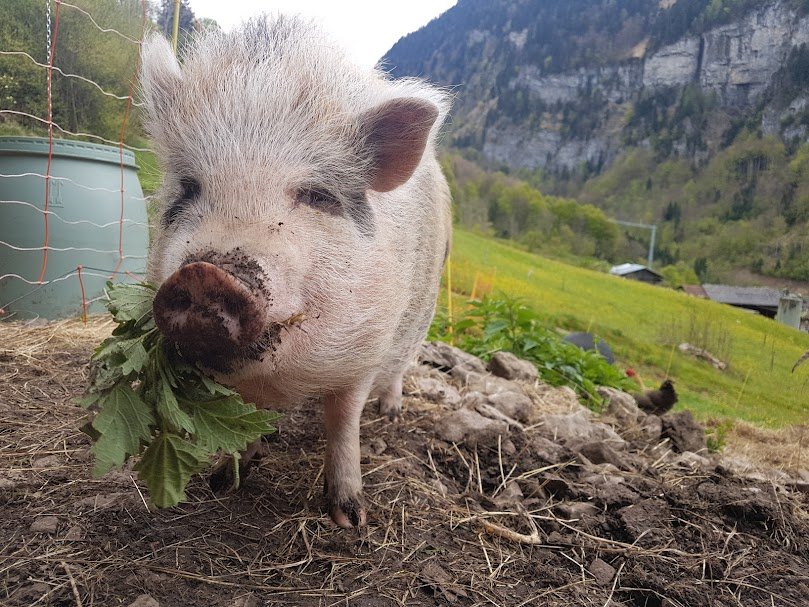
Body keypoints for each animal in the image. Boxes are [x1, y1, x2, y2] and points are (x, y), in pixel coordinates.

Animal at [141, 14, 452, 528]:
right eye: (188, 188)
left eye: (317, 195)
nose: (206, 274)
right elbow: (244, 417)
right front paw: (222, 481)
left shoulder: (367, 347)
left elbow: (344, 421)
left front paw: (350, 519)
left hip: (421, 315)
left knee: (401, 367)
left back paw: (390, 411)